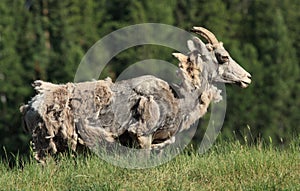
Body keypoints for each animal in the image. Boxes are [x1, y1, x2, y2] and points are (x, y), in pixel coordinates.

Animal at [20, 25, 251, 163]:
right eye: (223, 57)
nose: (247, 78)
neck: (179, 99)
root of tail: (30, 106)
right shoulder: (142, 135)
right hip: (43, 144)